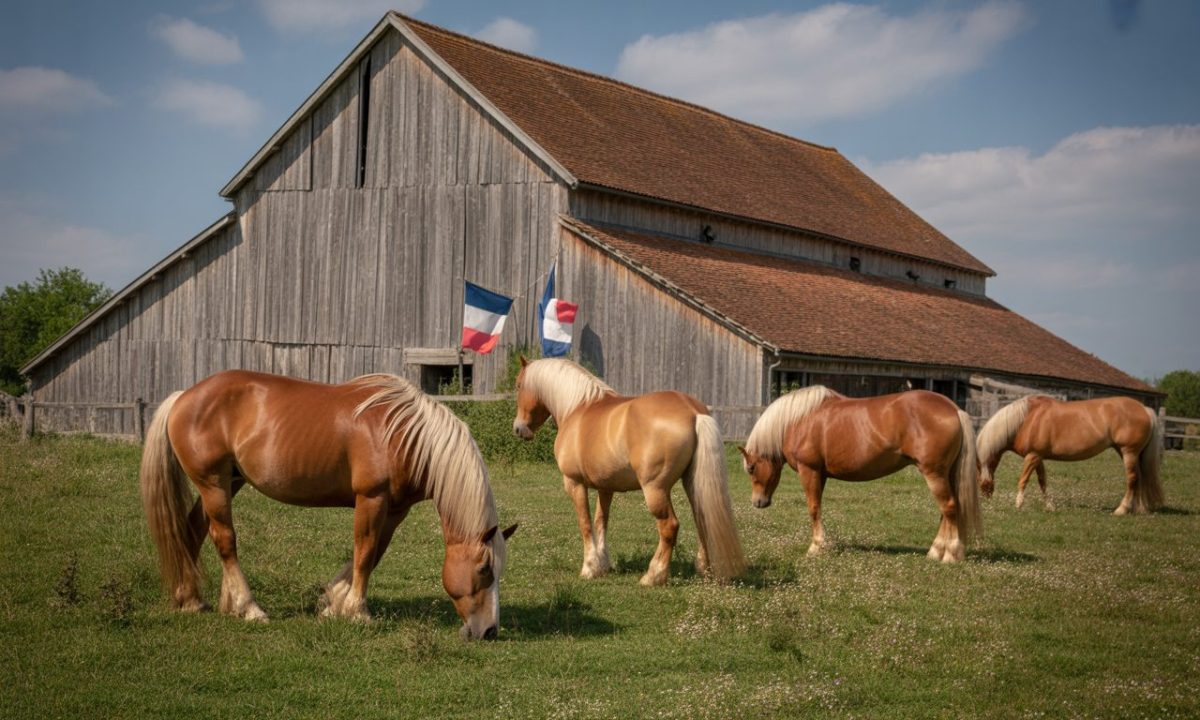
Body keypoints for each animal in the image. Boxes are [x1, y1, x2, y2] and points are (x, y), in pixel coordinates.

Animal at [139, 369, 516, 640]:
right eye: (485, 569)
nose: (489, 631)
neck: (404, 434)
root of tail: (183, 397)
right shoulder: (371, 499)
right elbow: (364, 552)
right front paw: (357, 611)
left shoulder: (395, 509)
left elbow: (373, 554)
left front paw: (333, 603)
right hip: (213, 485)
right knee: (224, 541)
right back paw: (248, 607)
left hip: (227, 484)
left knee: (192, 532)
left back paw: (192, 600)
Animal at [511, 357, 745, 585]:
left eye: (519, 385)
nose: (518, 429)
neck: (577, 407)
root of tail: (693, 412)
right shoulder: (606, 488)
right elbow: (601, 522)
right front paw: (603, 565)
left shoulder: (574, 483)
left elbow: (585, 524)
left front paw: (589, 568)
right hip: (693, 483)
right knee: (702, 521)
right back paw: (704, 570)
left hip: (655, 490)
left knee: (669, 526)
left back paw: (653, 576)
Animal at [738, 386, 981, 563]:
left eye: (751, 468)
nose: (758, 502)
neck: (798, 420)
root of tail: (953, 409)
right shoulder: (821, 475)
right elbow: (818, 507)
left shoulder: (810, 471)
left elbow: (813, 508)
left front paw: (816, 547)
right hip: (946, 474)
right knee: (947, 510)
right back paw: (935, 552)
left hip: (934, 473)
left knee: (949, 507)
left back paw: (950, 555)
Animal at [977, 395, 1163, 514]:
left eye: (977, 474)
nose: (985, 497)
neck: (1026, 419)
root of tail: (1145, 409)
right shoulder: (1038, 457)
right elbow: (1042, 481)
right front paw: (1050, 506)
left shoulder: (1032, 456)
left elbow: (1023, 480)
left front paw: (1018, 504)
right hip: (1130, 453)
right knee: (1140, 478)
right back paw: (1139, 509)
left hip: (1128, 452)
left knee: (1132, 479)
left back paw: (1121, 510)